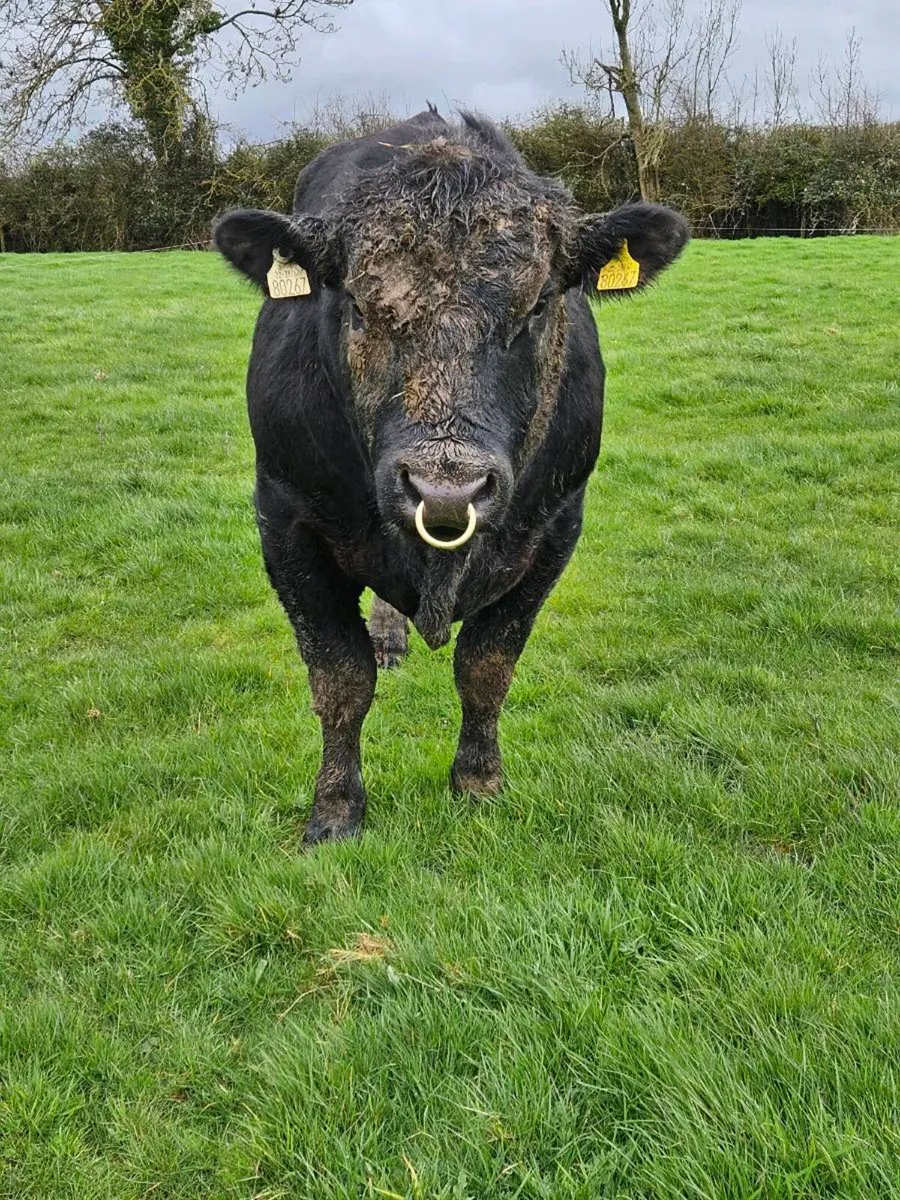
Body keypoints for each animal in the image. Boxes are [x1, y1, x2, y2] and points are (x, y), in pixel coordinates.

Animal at [213, 108, 688, 844]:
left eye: (539, 304)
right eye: (357, 306)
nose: (445, 488)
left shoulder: (556, 526)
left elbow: (486, 668)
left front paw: (478, 782)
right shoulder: (286, 520)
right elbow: (340, 678)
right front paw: (336, 809)